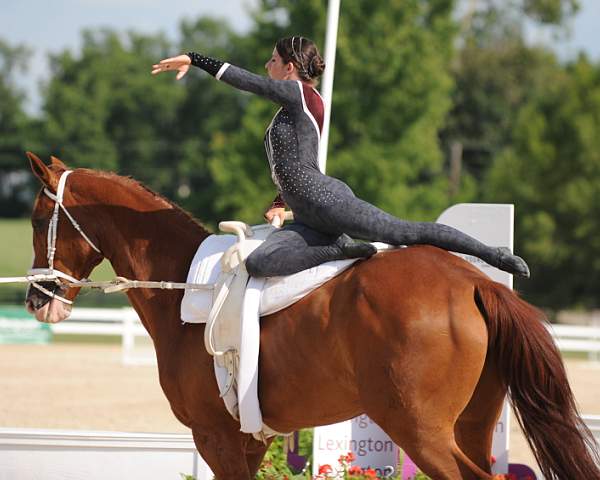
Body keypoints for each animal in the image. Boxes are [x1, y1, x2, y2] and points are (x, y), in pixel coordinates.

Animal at [24, 152, 600, 478]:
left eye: (35, 217)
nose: (36, 299)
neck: (184, 282)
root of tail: (475, 282)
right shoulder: (247, 441)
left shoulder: (214, 436)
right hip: (472, 425)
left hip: (422, 433)